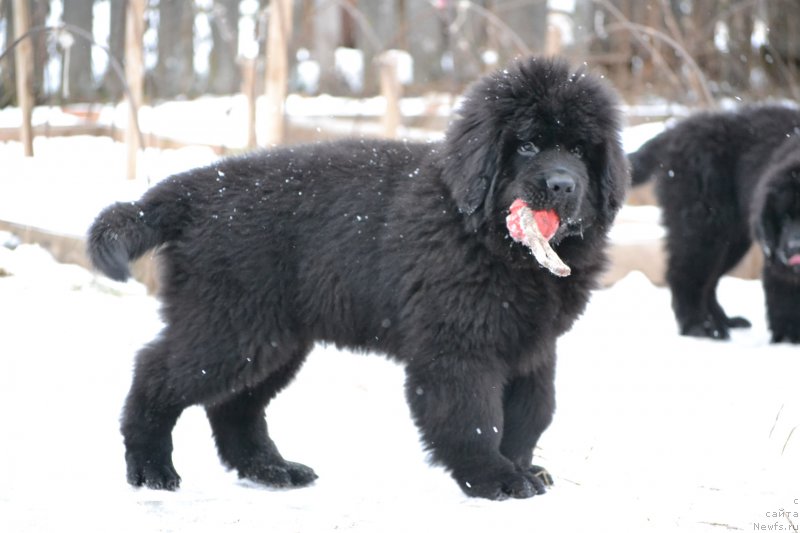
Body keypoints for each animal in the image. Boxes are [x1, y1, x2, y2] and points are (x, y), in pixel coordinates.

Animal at [86, 58, 624, 498]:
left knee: (235, 407)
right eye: (528, 145)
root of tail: (193, 188)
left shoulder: (533, 346)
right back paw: (152, 469)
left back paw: (273, 470)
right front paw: (494, 478)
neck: (490, 239)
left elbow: (532, 413)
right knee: (156, 372)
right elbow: (473, 417)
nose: (562, 185)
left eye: (580, 150)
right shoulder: (457, 347)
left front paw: (522, 469)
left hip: (275, 338)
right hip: (230, 325)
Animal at [632, 106, 800, 342]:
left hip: (732, 238)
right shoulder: (776, 256)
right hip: (704, 225)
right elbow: (785, 302)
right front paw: (788, 340)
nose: (794, 248)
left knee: (709, 283)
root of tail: (679, 130)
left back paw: (723, 322)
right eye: (784, 217)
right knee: (685, 276)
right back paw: (699, 328)